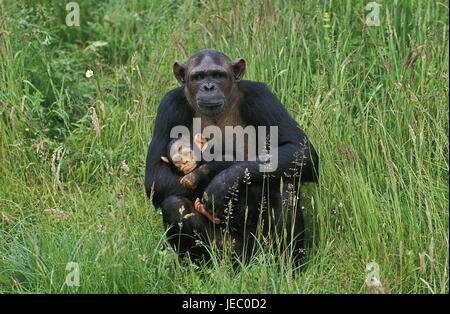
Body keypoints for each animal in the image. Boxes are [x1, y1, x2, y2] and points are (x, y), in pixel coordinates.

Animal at [145, 48, 320, 260]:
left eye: (218, 75)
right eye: (198, 77)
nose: (208, 87)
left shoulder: (261, 96)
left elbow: (301, 150)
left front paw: (220, 184)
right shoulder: (168, 106)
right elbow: (155, 177)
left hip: (261, 243)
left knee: (285, 185)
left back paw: (286, 263)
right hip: (229, 249)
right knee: (173, 204)